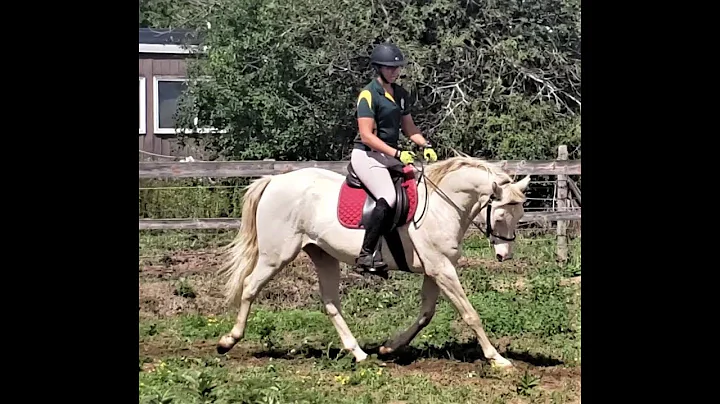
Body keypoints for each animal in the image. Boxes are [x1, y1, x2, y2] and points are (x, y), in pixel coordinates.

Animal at [214, 155, 528, 370]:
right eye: (501, 215)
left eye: (520, 214)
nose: (504, 255)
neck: (442, 205)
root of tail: (274, 181)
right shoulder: (441, 268)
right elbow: (470, 313)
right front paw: (498, 359)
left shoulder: (435, 270)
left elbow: (426, 314)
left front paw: (389, 349)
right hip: (275, 255)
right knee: (250, 287)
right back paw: (227, 342)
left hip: (323, 255)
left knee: (330, 303)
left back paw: (359, 353)